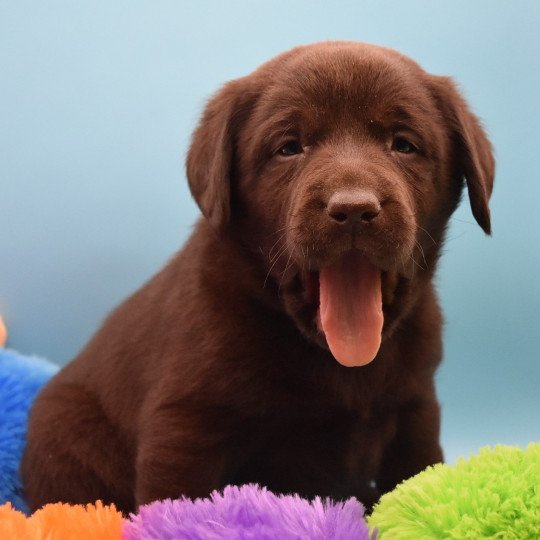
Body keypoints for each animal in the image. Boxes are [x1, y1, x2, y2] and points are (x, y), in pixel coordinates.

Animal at [21, 40, 494, 512]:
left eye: (403, 145)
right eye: (289, 147)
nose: (354, 208)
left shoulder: (416, 410)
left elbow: (419, 480)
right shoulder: (185, 423)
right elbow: (176, 503)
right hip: (66, 430)